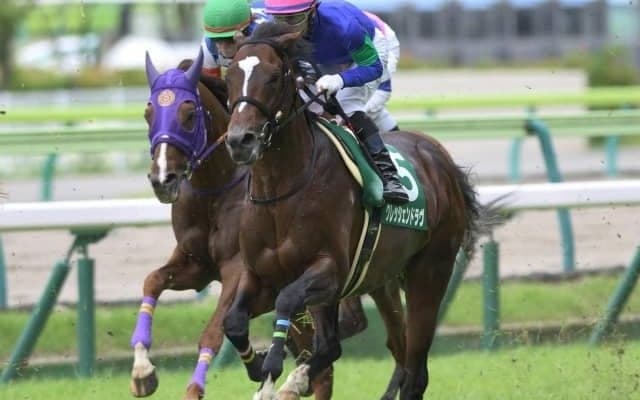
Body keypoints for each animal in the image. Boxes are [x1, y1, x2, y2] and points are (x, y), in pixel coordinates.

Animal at [130, 49, 371, 400]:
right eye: (149, 113)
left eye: (188, 114)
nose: (163, 179)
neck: (218, 188)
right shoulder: (196, 265)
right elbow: (152, 281)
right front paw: (143, 371)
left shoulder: (239, 270)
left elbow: (213, 332)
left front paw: (200, 386)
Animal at [222, 23, 488, 400]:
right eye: (230, 75)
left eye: (273, 76)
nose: (240, 140)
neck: (280, 193)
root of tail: (438, 155)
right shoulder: (260, 273)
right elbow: (233, 321)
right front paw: (261, 367)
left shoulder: (330, 270)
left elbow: (288, 301)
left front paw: (274, 370)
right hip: (381, 279)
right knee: (371, 348)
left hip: (430, 271)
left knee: (414, 368)